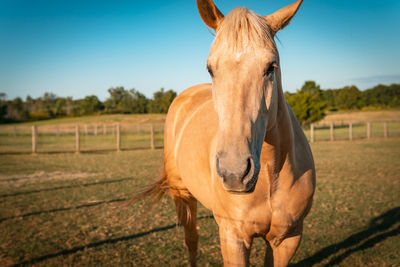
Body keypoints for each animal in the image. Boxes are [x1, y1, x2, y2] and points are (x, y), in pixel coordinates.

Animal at [139, 1, 318, 266]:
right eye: (210, 69)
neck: (271, 177)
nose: (234, 173)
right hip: (182, 194)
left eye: (271, 67)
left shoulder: (287, 239)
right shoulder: (234, 237)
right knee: (191, 240)